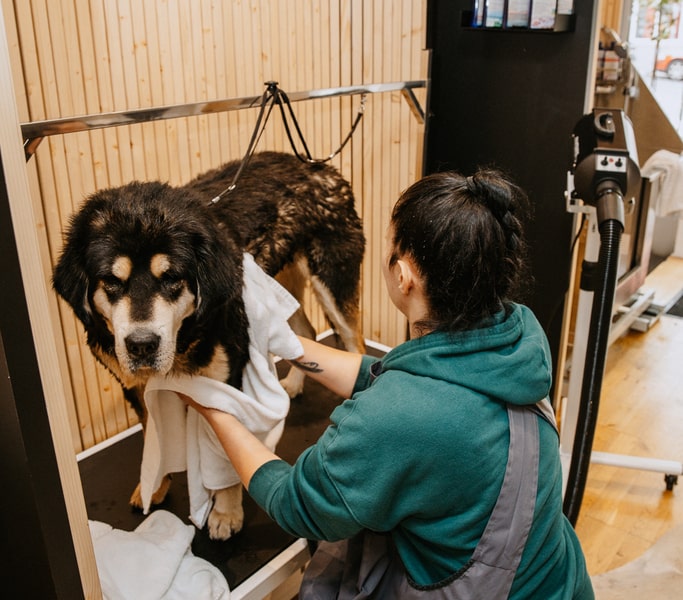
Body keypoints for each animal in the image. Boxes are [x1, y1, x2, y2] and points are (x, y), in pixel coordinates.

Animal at [54, 150, 366, 540]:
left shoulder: (225, 384)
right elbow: (153, 440)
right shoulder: (137, 388)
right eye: (111, 280)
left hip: (333, 282)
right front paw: (155, 485)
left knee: (356, 346)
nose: (142, 344)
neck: (185, 336)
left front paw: (226, 513)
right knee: (303, 332)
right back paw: (294, 384)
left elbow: (223, 456)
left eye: (172, 278)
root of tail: (316, 165)